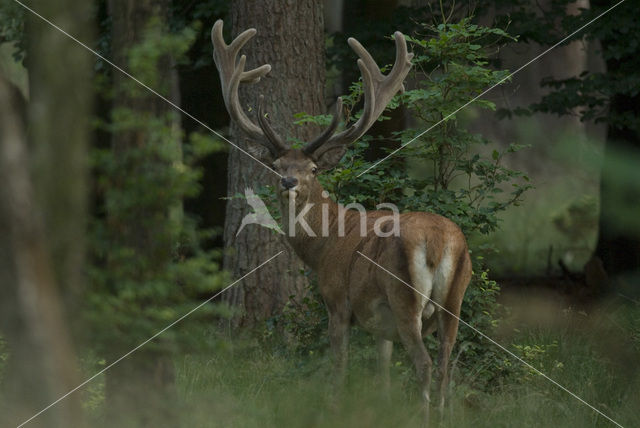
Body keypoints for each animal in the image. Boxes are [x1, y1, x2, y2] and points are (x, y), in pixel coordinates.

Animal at [212, 18, 472, 420]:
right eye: (277, 165)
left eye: (313, 168)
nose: (289, 182)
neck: (324, 245)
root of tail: (441, 243)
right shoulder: (380, 325)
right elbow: (382, 372)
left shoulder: (336, 300)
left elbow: (339, 367)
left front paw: (334, 408)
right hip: (455, 298)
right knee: (446, 363)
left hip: (404, 296)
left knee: (425, 364)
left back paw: (423, 417)